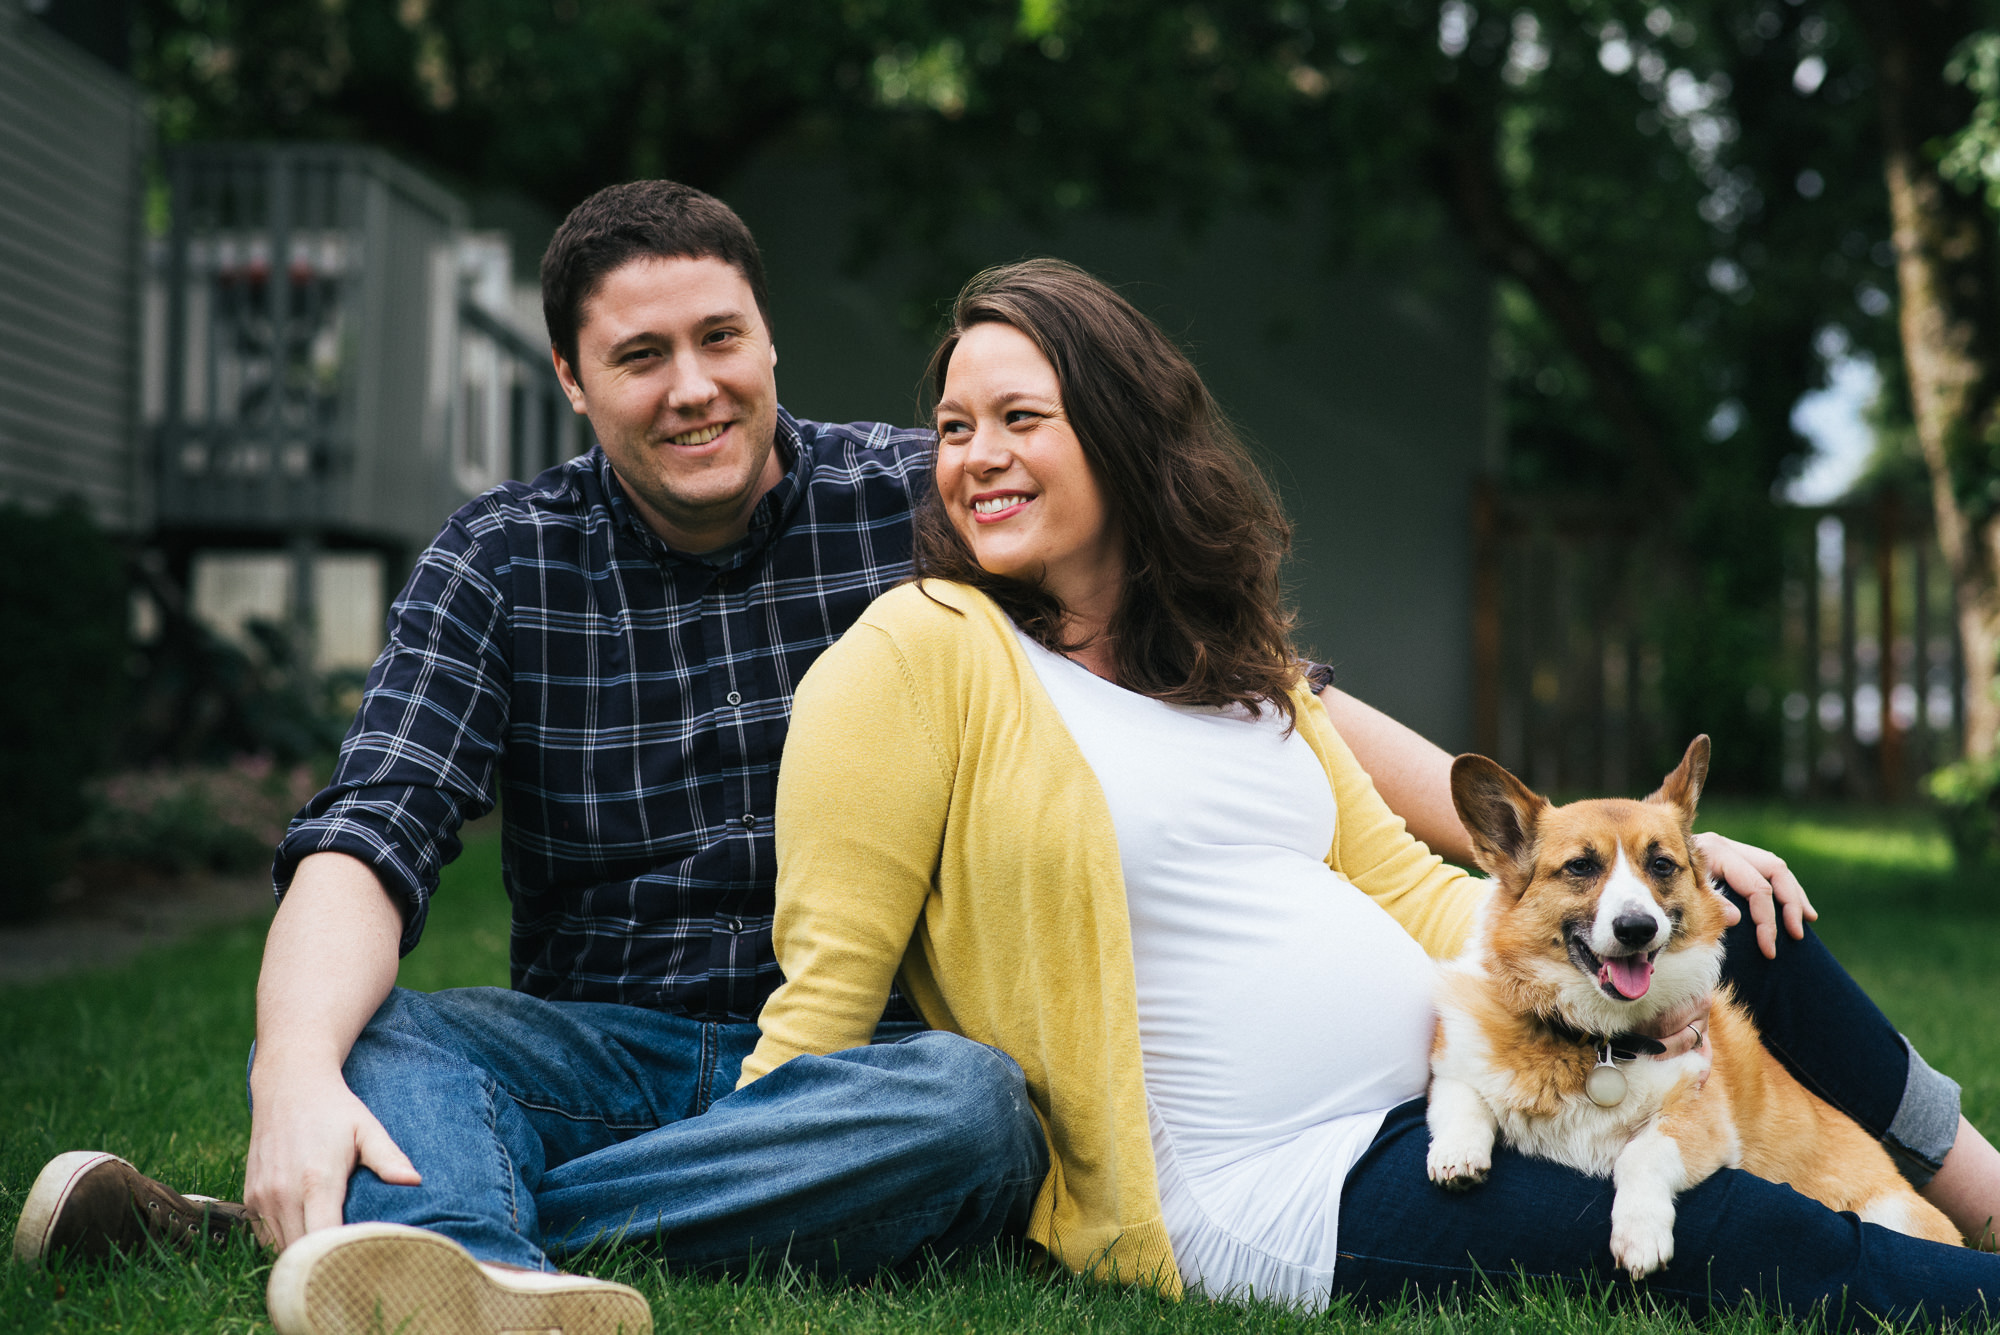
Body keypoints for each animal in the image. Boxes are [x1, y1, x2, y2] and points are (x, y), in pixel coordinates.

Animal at [1424, 735, 1952, 1279]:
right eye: (1580, 867)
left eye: (1661, 864)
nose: (1637, 928)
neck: (1598, 1038)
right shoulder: (1454, 1067)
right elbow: (1461, 1101)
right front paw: (1457, 1156)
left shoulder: (1700, 1121)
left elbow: (1640, 1154)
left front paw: (1639, 1237)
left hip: (1894, 1213)